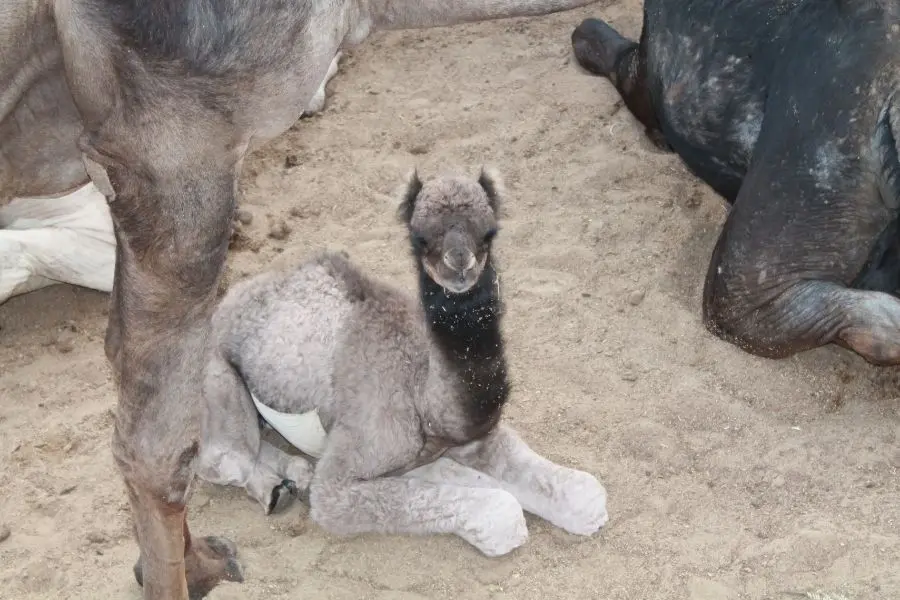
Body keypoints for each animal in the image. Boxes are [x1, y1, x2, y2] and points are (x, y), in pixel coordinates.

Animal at [194, 169, 608, 560]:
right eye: (420, 237)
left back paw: (295, 473)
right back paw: (275, 487)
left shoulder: (469, 438)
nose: (460, 266)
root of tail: (230, 298)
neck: (423, 396)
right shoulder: (341, 480)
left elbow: (587, 495)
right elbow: (500, 515)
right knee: (223, 458)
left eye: (489, 232)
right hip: (217, 370)